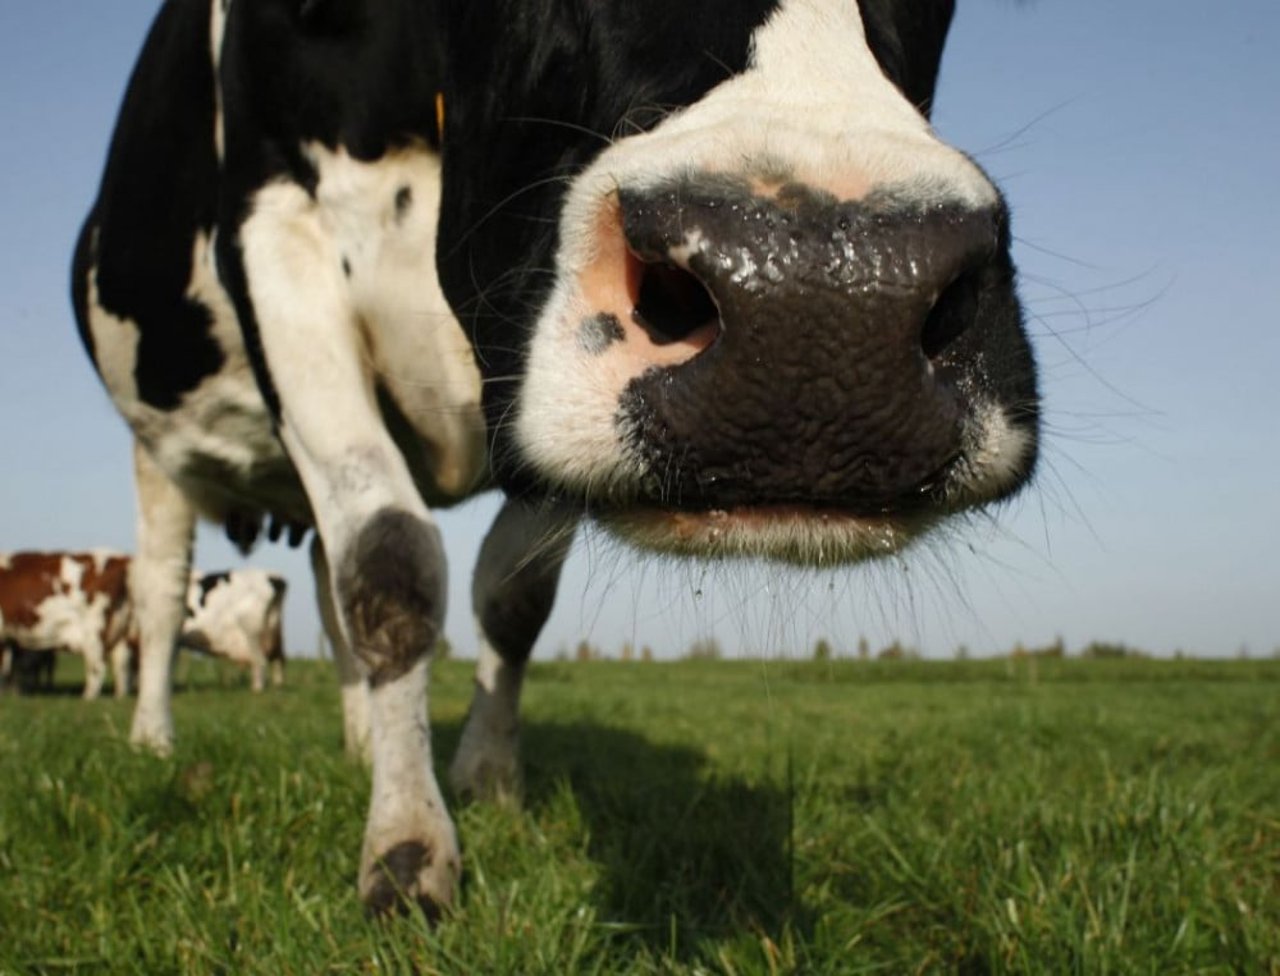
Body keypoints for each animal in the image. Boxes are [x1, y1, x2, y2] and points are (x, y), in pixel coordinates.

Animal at [0, 548, 133, 701]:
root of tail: (119, 557)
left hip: (94, 629)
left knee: (97, 668)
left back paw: (87, 699)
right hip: (119, 630)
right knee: (121, 663)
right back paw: (119, 697)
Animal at [72, 0, 1039, 917]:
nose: (823, 306)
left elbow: (511, 595)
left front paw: (486, 778)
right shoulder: (277, 237)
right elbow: (390, 564)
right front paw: (407, 846)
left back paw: (359, 740)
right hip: (156, 451)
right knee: (162, 592)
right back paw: (154, 739)